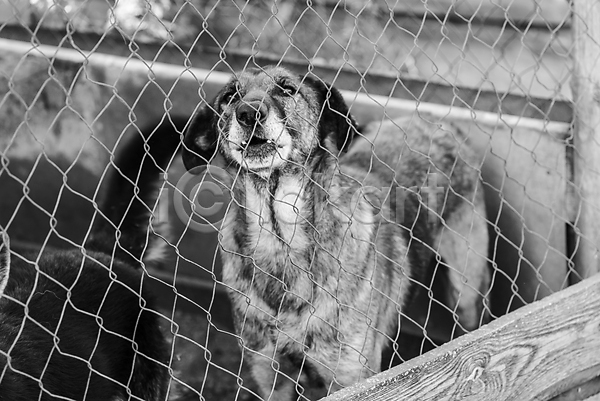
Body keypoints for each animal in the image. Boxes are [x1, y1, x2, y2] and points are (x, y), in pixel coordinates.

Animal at [182, 66, 490, 400]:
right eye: (229, 96)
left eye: (287, 89)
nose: (249, 113)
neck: (280, 239)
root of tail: (440, 122)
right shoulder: (272, 379)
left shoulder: (353, 379)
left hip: (465, 289)